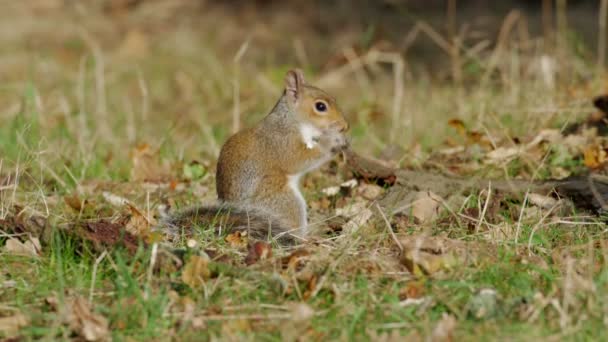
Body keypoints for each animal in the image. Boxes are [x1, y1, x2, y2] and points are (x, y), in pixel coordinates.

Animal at [162, 69, 350, 244]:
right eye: (320, 106)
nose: (344, 126)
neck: (290, 120)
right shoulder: (281, 143)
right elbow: (298, 159)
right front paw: (332, 141)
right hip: (286, 202)